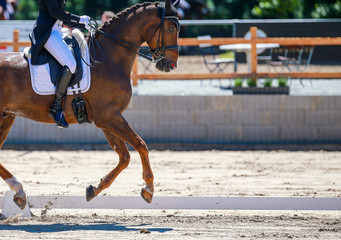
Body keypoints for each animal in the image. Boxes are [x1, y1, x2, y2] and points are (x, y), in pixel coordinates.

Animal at [0, 0, 179, 209]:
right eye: (171, 27)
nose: (170, 65)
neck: (108, 58)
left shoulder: (107, 118)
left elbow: (124, 156)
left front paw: (94, 189)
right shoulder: (109, 117)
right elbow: (141, 145)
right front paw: (148, 189)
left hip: (7, 117)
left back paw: (19, 192)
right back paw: (19, 191)